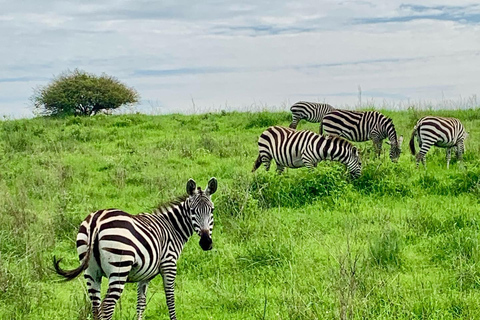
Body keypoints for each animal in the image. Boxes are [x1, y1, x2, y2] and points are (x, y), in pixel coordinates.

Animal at [53, 178, 218, 320]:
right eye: (192, 211)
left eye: (212, 210)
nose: (206, 243)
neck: (172, 227)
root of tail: (96, 221)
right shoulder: (169, 264)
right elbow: (170, 298)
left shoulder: (144, 275)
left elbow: (141, 303)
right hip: (119, 268)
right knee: (107, 307)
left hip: (91, 271)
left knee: (95, 307)